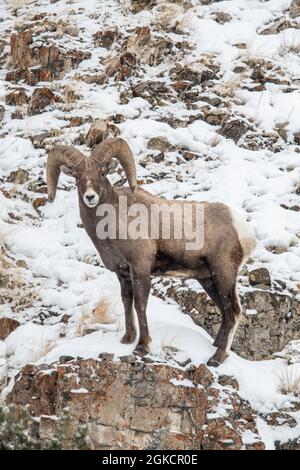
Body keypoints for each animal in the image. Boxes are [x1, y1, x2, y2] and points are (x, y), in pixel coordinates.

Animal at [47, 138, 255, 366]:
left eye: (102, 172)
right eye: (77, 176)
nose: (90, 197)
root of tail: (243, 229)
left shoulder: (141, 268)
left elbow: (140, 304)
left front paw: (142, 345)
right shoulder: (123, 273)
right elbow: (127, 302)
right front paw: (127, 338)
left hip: (223, 275)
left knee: (233, 312)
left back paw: (217, 358)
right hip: (208, 279)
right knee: (225, 312)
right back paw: (216, 346)